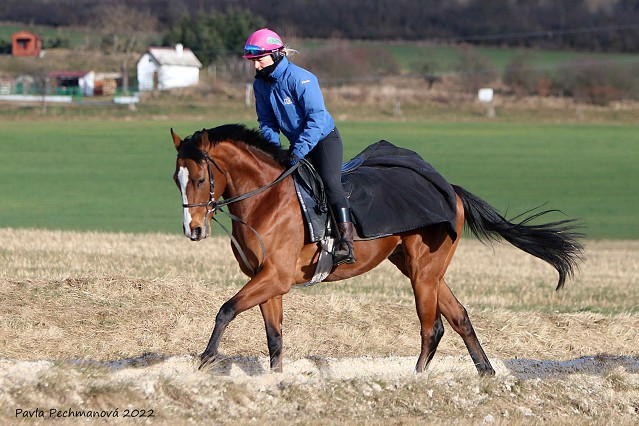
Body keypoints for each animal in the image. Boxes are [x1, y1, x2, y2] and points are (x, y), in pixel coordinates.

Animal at [171, 124, 584, 376]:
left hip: (423, 270)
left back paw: (417, 378)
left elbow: (226, 309)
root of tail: (450, 188)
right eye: (176, 178)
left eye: (201, 178)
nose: (193, 230)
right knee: (459, 316)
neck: (265, 200)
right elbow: (274, 337)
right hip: (419, 268)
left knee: (432, 327)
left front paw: (205, 360)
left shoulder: (277, 276)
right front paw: (274, 378)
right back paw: (485, 372)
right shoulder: (267, 279)